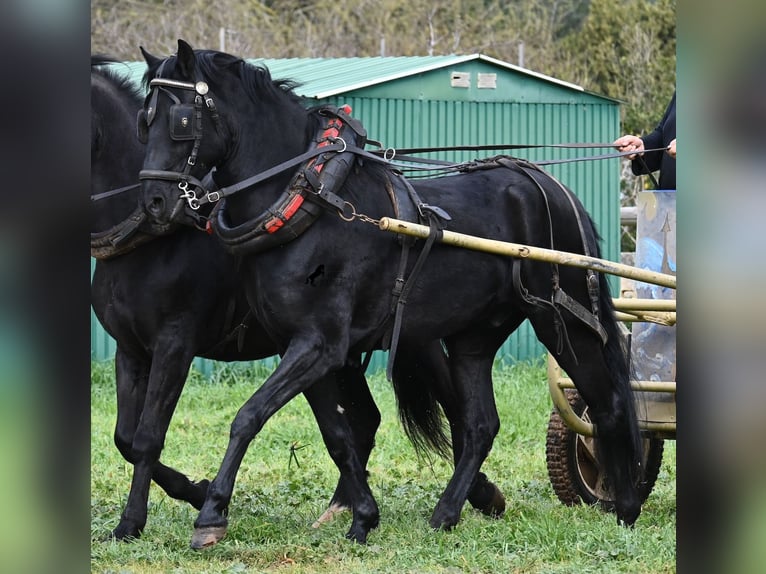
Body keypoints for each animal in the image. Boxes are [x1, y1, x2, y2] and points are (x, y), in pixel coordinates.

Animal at [137, 40, 643, 550]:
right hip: (474, 337)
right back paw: (446, 512)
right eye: (144, 119)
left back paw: (624, 503)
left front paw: (211, 514)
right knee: (481, 424)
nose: (155, 202)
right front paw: (362, 516)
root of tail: (553, 188)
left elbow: (249, 415)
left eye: (181, 120)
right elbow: (338, 435)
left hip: (565, 322)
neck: (311, 200)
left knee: (607, 403)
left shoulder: (319, 345)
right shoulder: (301, 347)